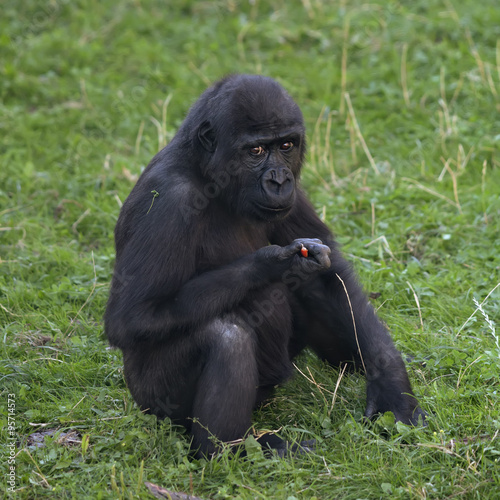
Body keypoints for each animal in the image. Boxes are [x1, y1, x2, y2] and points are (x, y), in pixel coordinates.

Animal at [104, 73, 422, 458]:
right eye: (255, 151)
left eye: (286, 145)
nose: (279, 180)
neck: (207, 174)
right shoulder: (167, 199)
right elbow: (134, 317)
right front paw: (272, 264)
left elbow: (329, 272)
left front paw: (392, 385)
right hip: (152, 403)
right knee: (226, 336)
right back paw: (232, 450)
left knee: (312, 289)